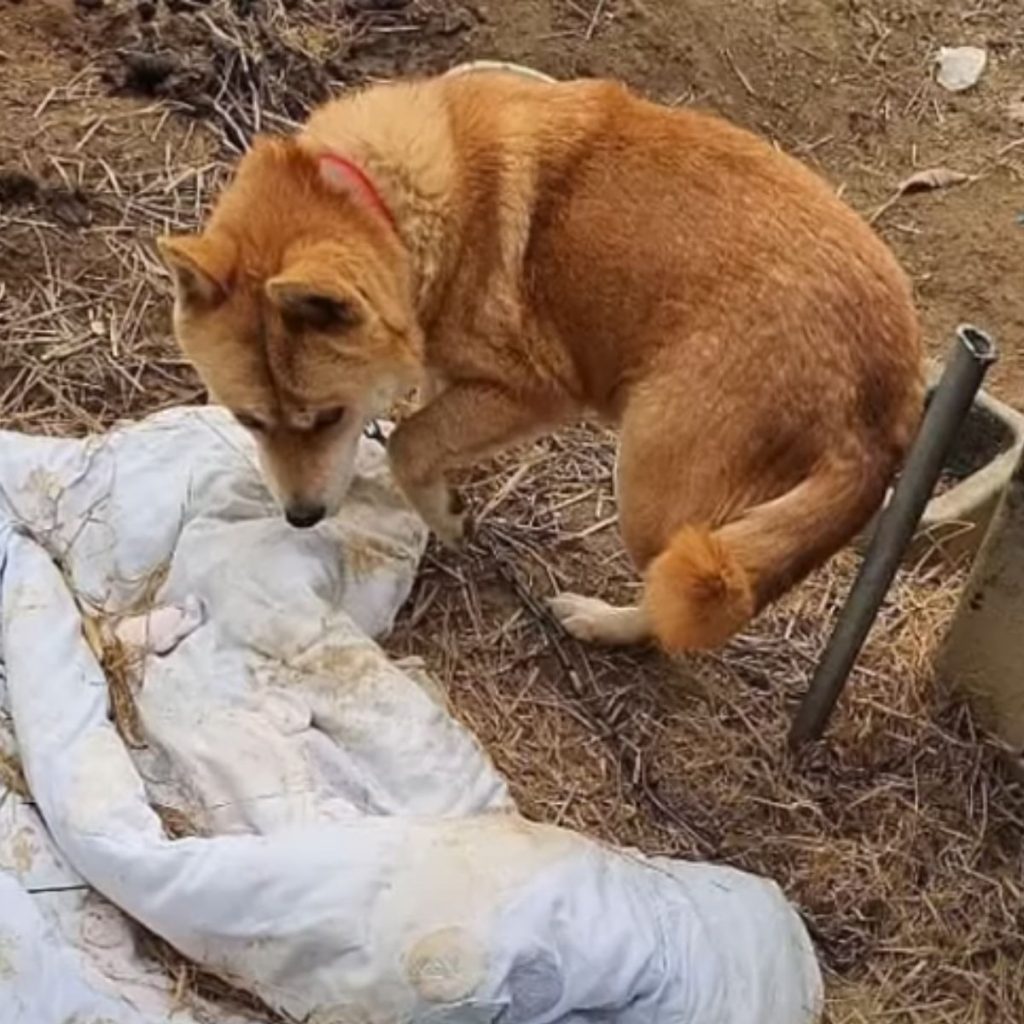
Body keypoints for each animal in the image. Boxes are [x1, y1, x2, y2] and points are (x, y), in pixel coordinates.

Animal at [157, 72, 921, 651]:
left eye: (326, 417)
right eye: (249, 421)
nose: (302, 518)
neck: (386, 207)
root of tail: (884, 409)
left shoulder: (535, 391)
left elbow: (410, 442)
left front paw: (443, 514)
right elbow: (425, 426)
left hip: (649, 488)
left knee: (677, 604)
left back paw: (602, 623)